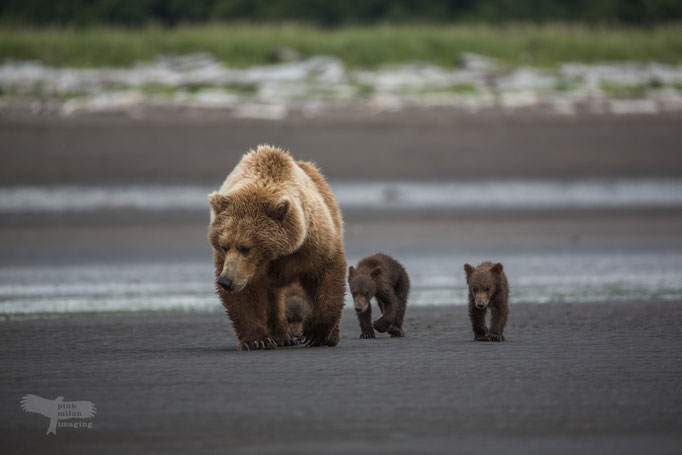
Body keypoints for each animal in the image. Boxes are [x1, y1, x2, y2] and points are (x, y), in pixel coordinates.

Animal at [207, 144, 346, 350]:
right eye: (224, 246)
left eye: (246, 247)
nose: (225, 281)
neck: (275, 254)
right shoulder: (242, 267)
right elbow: (245, 295)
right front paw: (257, 340)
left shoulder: (311, 244)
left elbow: (326, 274)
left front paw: (315, 335)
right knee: (272, 298)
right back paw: (281, 336)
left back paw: (330, 337)